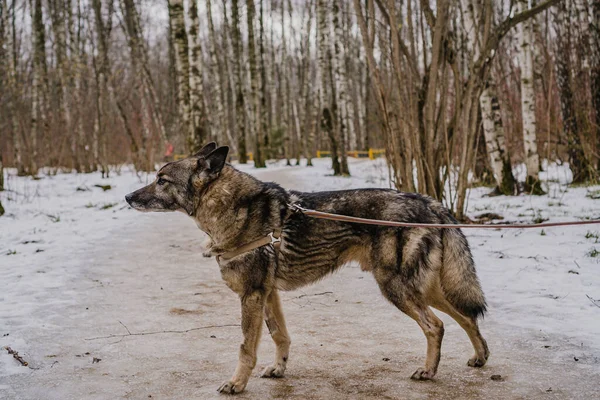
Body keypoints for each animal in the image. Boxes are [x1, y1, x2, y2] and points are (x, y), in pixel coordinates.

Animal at [125, 143, 488, 394]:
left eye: (162, 180)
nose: (128, 197)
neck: (233, 208)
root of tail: (429, 201)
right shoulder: (268, 295)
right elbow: (280, 336)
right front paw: (278, 369)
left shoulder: (252, 295)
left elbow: (245, 347)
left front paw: (237, 384)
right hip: (426, 288)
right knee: (466, 316)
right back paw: (480, 356)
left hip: (397, 287)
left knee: (436, 326)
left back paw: (428, 371)